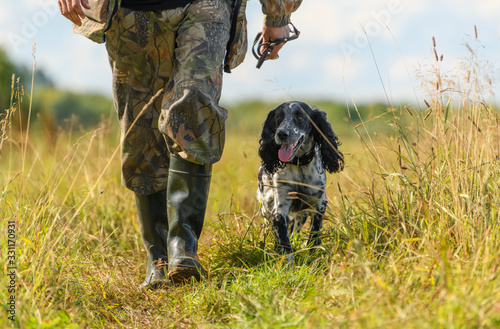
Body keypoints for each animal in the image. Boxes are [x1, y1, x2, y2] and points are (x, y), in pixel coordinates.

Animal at [258, 101, 344, 262]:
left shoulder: (319, 203)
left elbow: (313, 235)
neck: (299, 165)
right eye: (278, 118)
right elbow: (285, 243)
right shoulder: (279, 209)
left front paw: (311, 258)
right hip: (266, 207)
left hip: (302, 213)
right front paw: (289, 265)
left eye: (299, 117)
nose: (282, 134)